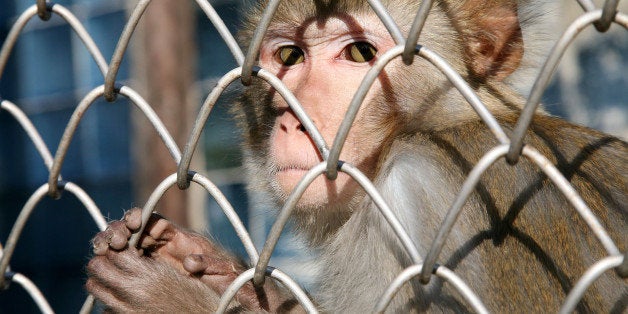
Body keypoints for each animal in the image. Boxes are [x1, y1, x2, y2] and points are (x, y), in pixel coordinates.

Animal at [84, 1, 628, 312]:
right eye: (289, 57)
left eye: (362, 53)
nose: (293, 117)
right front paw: (227, 280)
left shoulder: (419, 200)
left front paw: (175, 299)